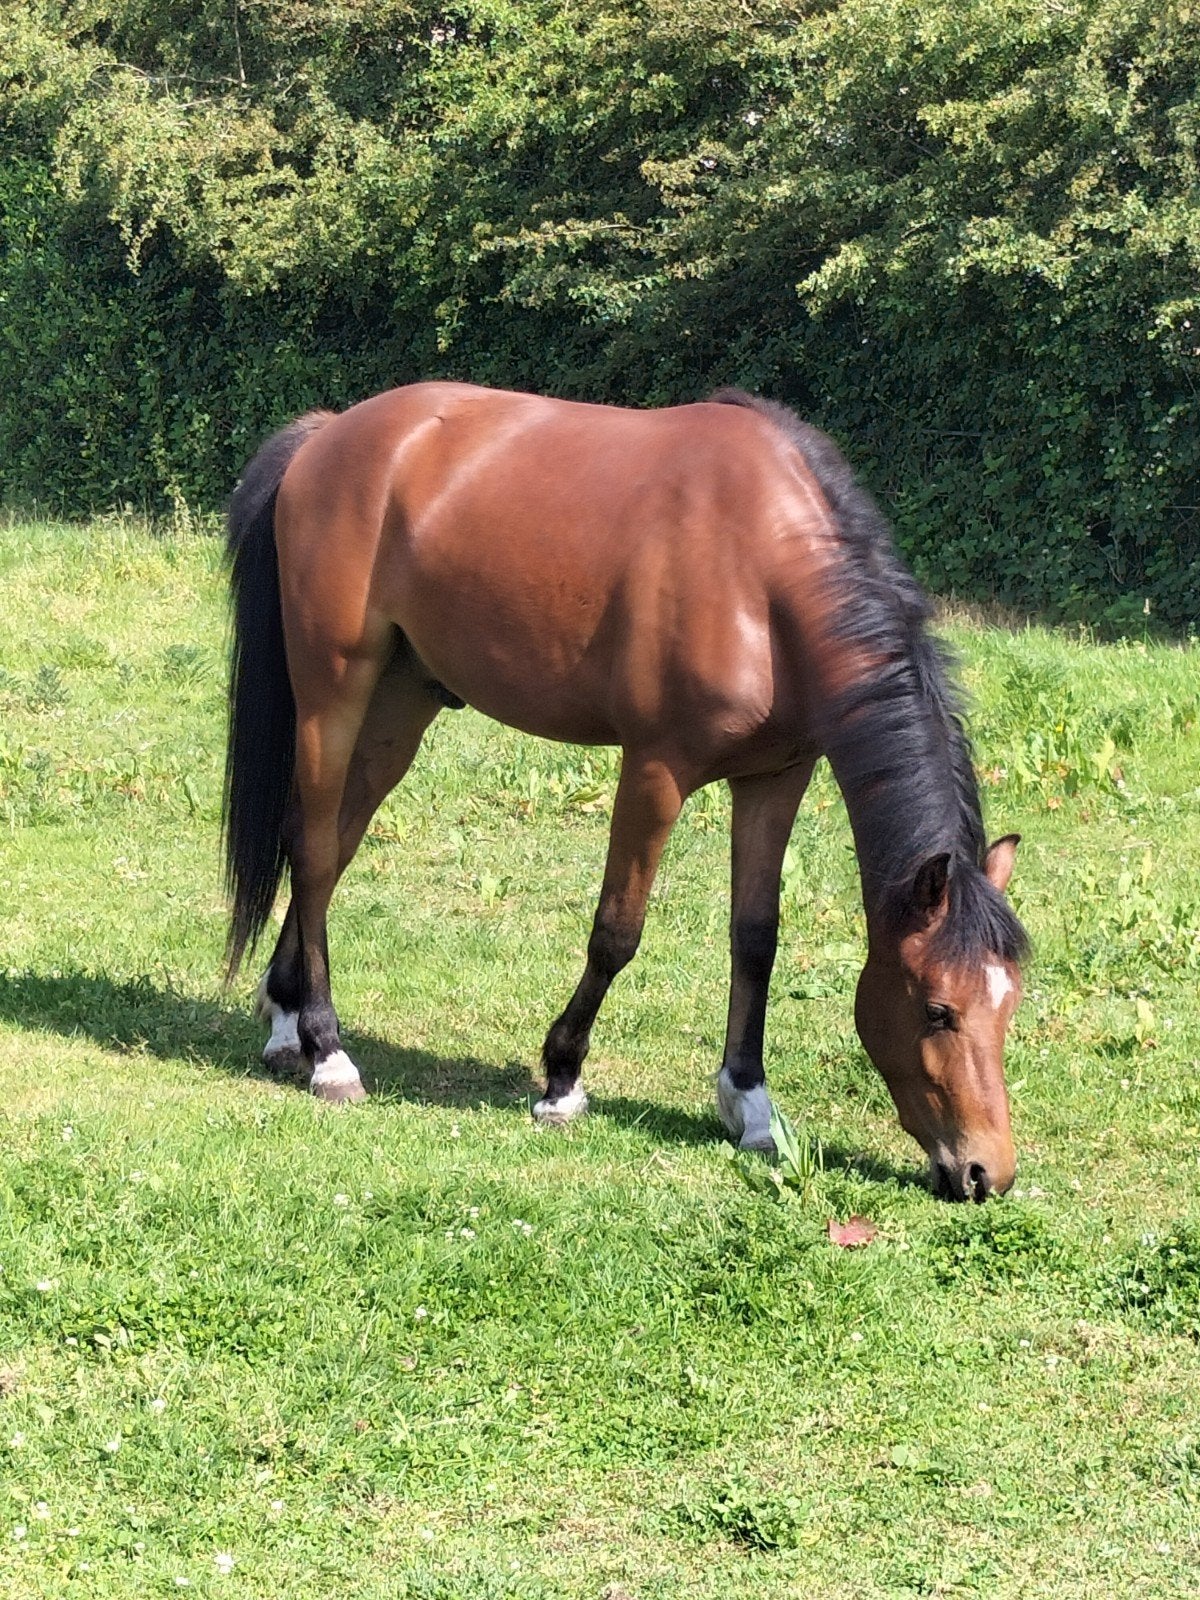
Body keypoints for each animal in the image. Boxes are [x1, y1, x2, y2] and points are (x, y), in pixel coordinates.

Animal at [222, 382, 1028, 1201]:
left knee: (337, 840)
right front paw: (561, 1078)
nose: (983, 1172)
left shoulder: (775, 777)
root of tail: (330, 435)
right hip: (333, 690)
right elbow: (617, 932)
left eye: (1010, 1006)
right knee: (313, 848)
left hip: (401, 699)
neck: (765, 576)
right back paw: (327, 1051)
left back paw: (286, 1016)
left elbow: (756, 937)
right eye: (938, 1009)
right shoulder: (655, 770)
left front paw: (750, 1103)